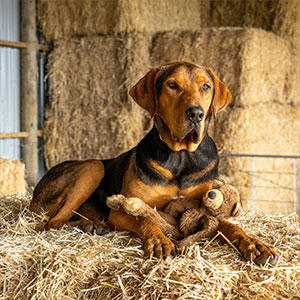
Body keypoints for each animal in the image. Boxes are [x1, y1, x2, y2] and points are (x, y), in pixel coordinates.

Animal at [29, 62, 278, 264]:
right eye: (172, 85)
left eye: (206, 87)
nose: (196, 114)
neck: (181, 155)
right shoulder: (121, 211)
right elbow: (147, 219)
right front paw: (158, 240)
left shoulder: (207, 208)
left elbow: (229, 225)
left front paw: (254, 244)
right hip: (93, 166)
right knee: (52, 223)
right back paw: (92, 225)